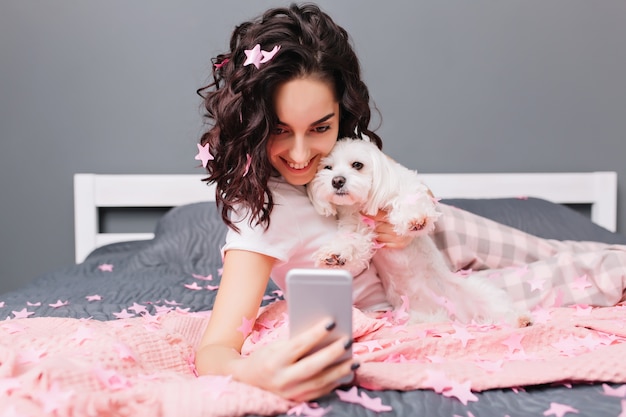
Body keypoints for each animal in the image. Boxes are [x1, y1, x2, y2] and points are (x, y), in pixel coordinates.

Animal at [304, 138, 528, 326]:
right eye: (327, 167)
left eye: (357, 165)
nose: (337, 181)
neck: (362, 205)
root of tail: (458, 317)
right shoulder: (356, 227)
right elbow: (352, 242)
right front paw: (335, 255)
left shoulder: (403, 186)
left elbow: (408, 197)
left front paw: (415, 219)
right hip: (413, 315)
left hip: (479, 290)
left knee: (501, 309)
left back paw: (521, 319)